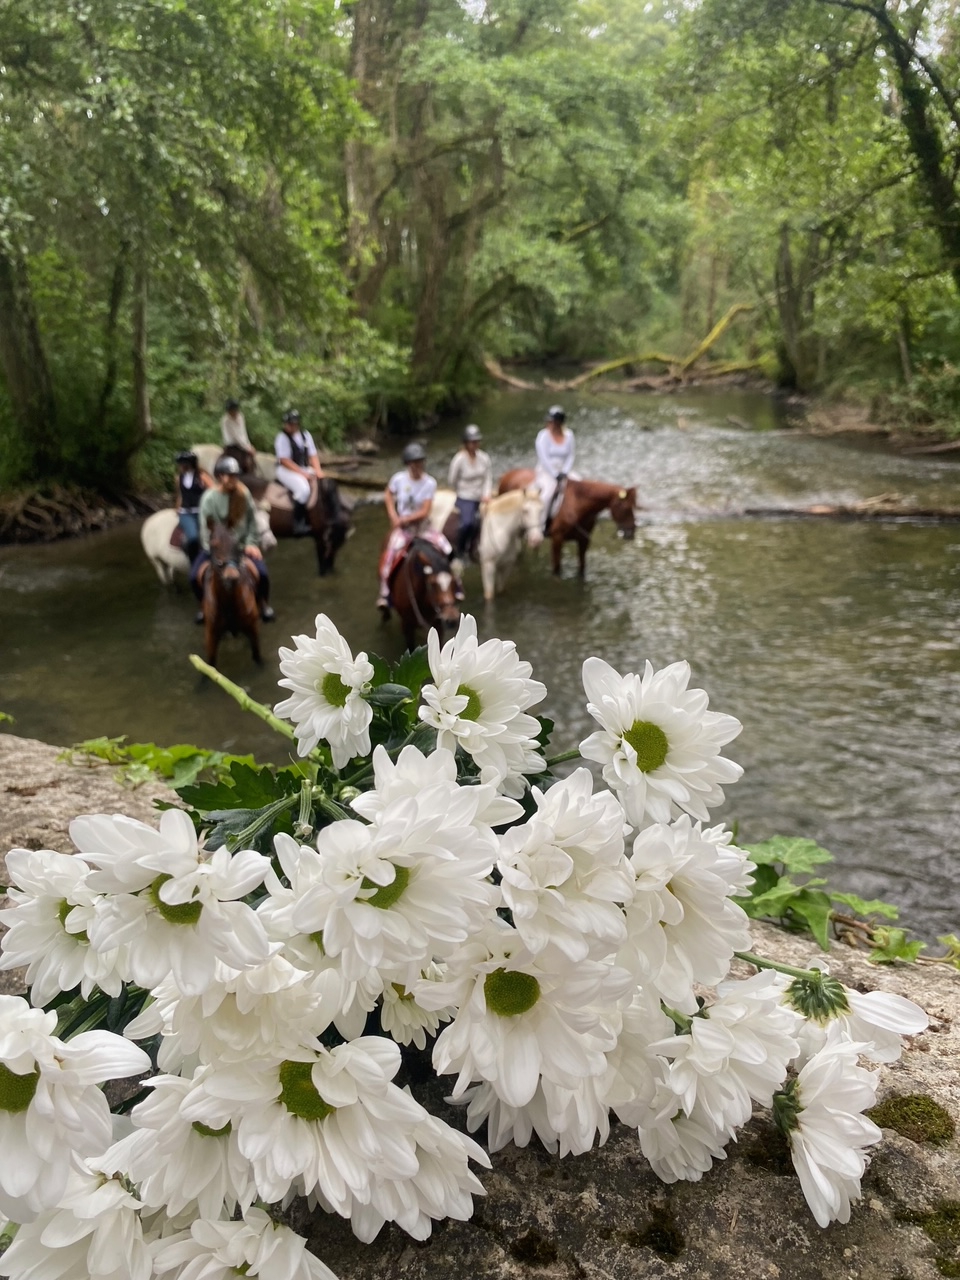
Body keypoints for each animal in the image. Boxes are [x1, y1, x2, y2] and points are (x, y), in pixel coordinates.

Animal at [142, 504, 277, 586]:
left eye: (268, 518)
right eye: (255, 522)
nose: (271, 544)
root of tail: (148, 522)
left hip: (168, 561)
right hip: (155, 560)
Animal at [200, 517, 263, 665]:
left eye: (236, 542)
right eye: (213, 543)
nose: (231, 576)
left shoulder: (253, 629)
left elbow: (257, 657)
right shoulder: (210, 634)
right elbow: (210, 663)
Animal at [496, 471, 640, 581]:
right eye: (626, 508)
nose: (631, 532)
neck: (577, 505)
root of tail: (507, 474)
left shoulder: (584, 540)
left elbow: (582, 568)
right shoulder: (557, 539)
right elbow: (556, 569)